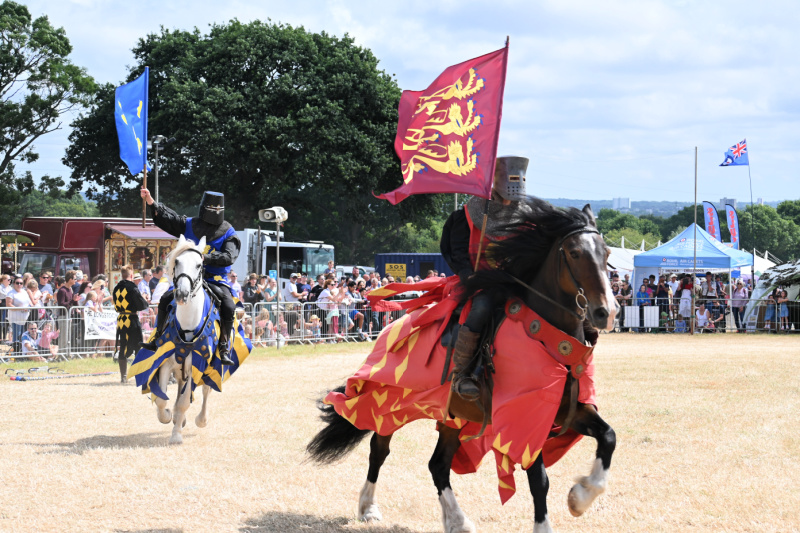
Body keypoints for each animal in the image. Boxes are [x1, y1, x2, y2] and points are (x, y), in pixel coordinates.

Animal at [152, 235, 214, 442]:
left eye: (199, 265)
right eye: (177, 261)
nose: (181, 294)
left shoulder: (197, 366)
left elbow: (184, 402)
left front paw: (176, 435)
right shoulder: (166, 364)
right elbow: (162, 399)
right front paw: (167, 416)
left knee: (205, 391)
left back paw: (201, 419)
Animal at [306, 197, 620, 528]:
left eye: (606, 253)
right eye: (574, 252)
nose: (607, 312)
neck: (546, 336)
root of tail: (392, 325)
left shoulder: (569, 410)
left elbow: (608, 437)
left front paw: (581, 497)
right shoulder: (522, 422)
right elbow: (540, 481)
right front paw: (546, 523)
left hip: (453, 417)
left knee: (438, 465)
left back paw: (457, 521)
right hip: (386, 402)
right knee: (379, 450)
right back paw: (368, 508)